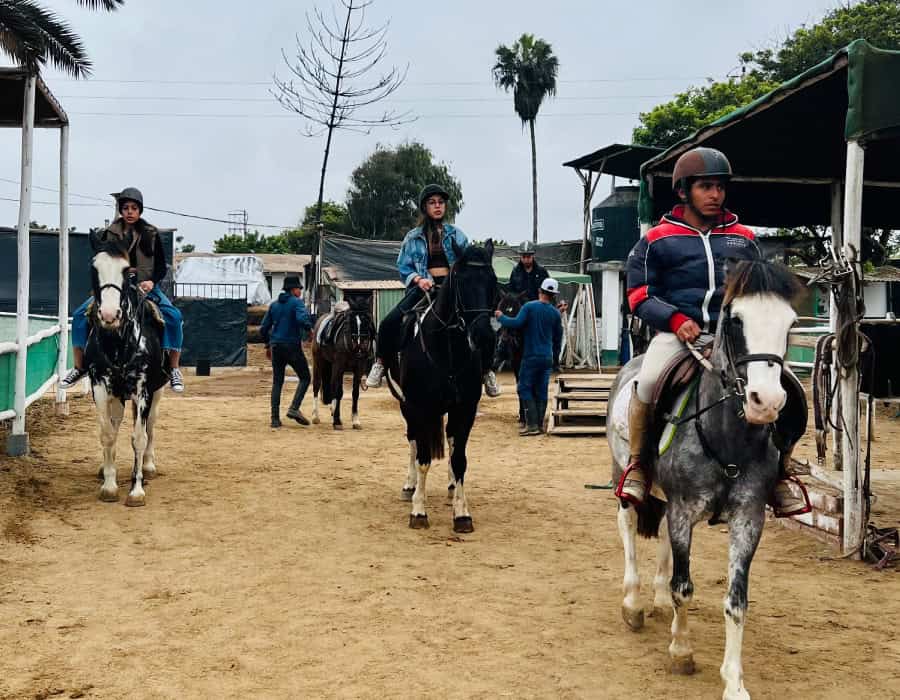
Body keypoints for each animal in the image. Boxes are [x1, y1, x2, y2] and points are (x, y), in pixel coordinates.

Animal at [85, 235, 168, 506]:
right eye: (94, 268)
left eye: (127, 271)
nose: (110, 315)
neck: (118, 344)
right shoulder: (100, 386)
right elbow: (108, 434)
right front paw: (109, 485)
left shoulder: (143, 389)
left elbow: (139, 438)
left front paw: (136, 490)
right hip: (118, 396)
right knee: (116, 423)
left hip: (157, 392)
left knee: (150, 425)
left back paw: (149, 466)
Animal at [311, 294, 375, 430]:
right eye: (351, 321)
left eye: (367, 320)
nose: (359, 344)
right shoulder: (339, 366)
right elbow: (339, 392)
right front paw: (337, 421)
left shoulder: (359, 368)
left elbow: (355, 393)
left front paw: (355, 420)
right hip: (319, 362)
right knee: (317, 385)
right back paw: (315, 416)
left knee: (331, 385)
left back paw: (332, 409)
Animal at [386, 240, 497, 532]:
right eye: (460, 281)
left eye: (493, 282)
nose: (483, 336)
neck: (447, 350)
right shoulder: (419, 407)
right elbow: (423, 458)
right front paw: (419, 511)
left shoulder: (465, 409)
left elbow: (459, 460)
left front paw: (462, 514)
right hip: (407, 407)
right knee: (413, 441)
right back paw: (410, 486)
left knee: (449, 442)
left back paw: (449, 487)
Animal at [607, 259, 804, 700]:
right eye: (735, 320)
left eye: (790, 322)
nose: (767, 403)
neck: (728, 439)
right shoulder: (684, 511)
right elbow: (684, 586)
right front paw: (681, 651)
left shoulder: (748, 518)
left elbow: (736, 601)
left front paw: (734, 682)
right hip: (623, 474)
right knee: (627, 524)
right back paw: (633, 604)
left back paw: (658, 601)